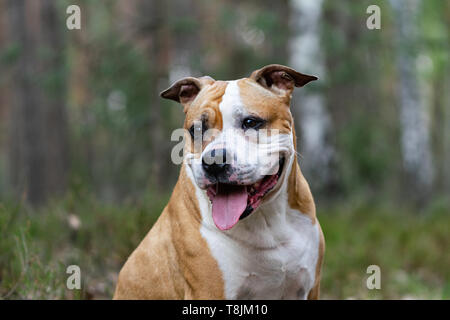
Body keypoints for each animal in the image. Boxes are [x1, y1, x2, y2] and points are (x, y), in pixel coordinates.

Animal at [112, 63, 324, 298]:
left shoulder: (309, 289)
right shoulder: (209, 292)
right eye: (196, 129)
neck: (266, 220)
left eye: (250, 122)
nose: (214, 161)